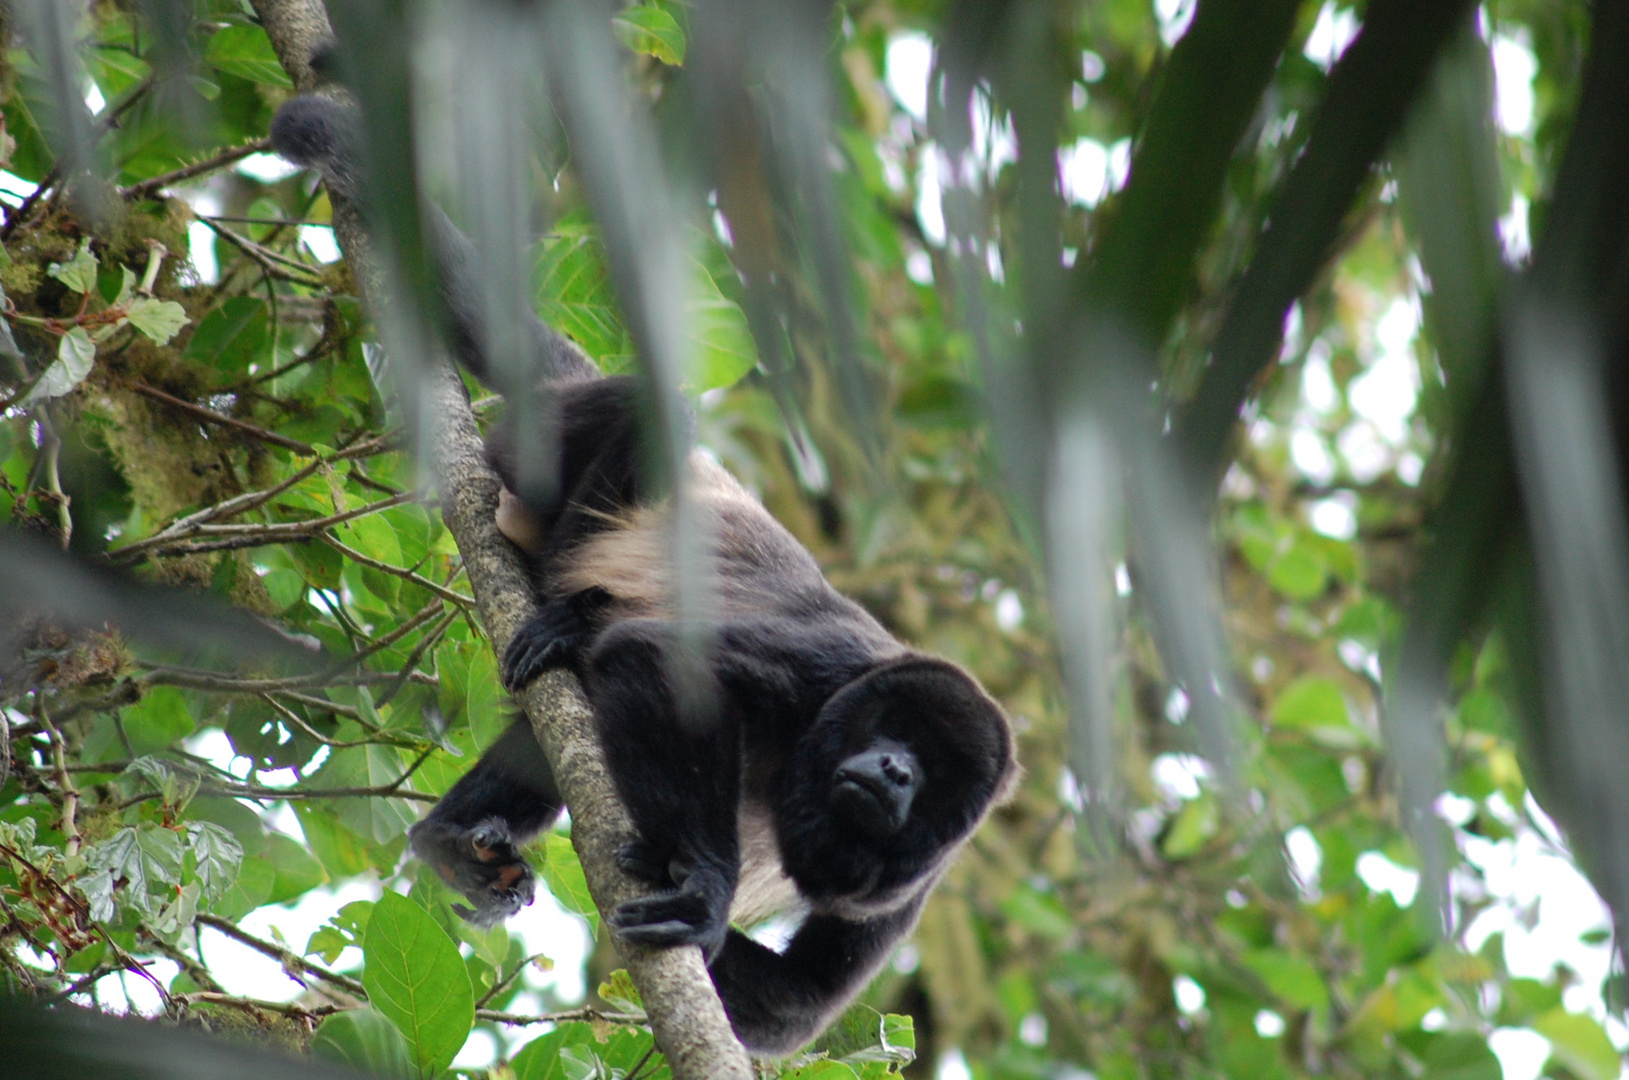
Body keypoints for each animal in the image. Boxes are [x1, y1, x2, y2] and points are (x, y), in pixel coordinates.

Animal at [276, 92, 1016, 1055]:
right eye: (899, 733)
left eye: (929, 772)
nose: (891, 770)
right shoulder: (826, 667)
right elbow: (666, 663)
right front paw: (703, 886)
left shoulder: (916, 890)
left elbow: (796, 1007)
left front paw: (702, 912)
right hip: (548, 437)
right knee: (651, 420)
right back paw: (567, 604)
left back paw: (452, 837)